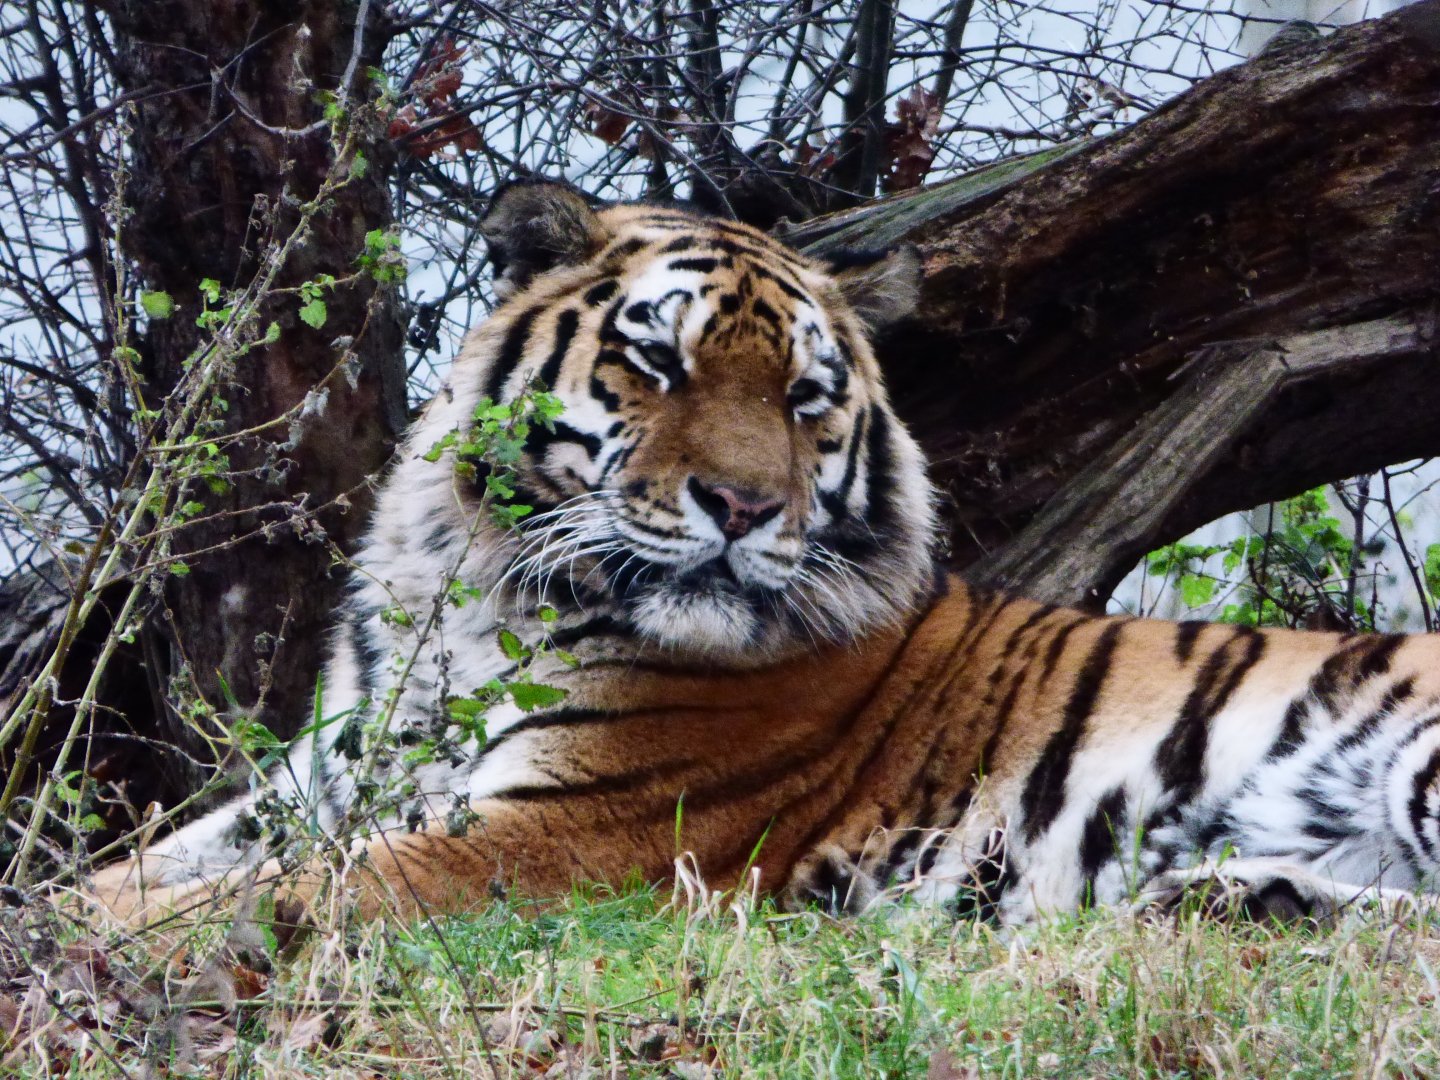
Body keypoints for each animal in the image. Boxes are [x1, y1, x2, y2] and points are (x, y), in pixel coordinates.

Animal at [92, 179, 1440, 929]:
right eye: (659, 361)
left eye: (803, 397)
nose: (739, 507)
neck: (474, 581)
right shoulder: (322, 780)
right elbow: (134, 871)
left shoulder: (564, 830)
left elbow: (266, 901)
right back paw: (1249, 897)